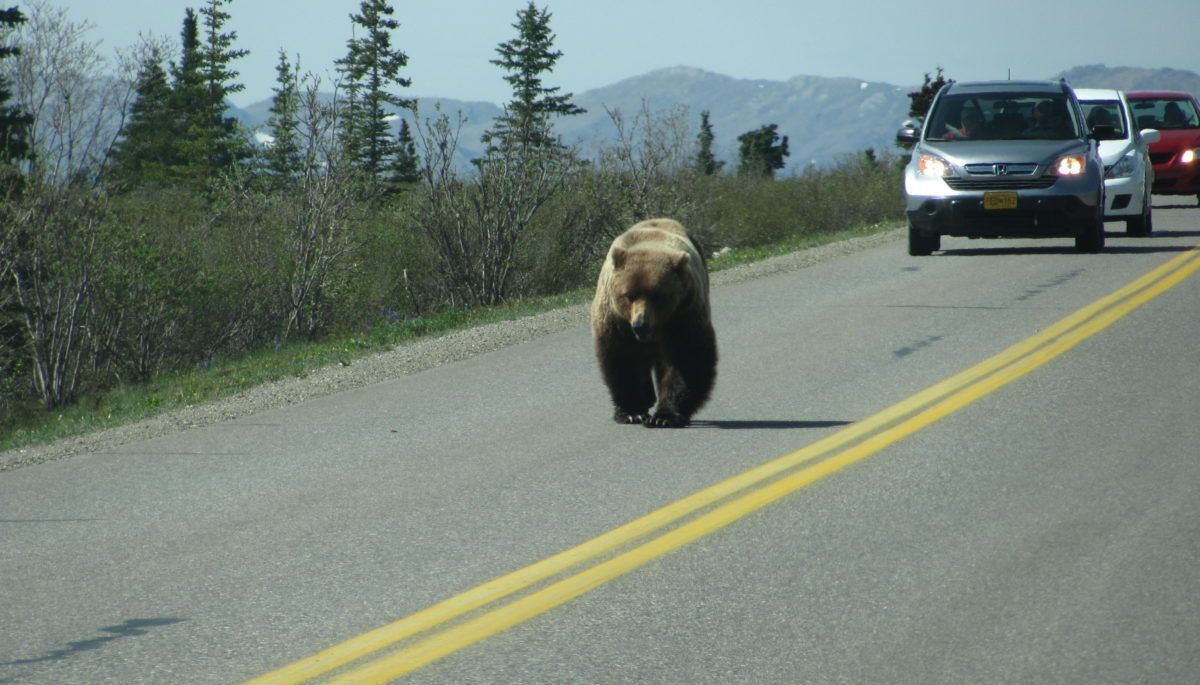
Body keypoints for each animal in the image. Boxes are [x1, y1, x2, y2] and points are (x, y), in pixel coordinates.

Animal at [591, 218, 718, 428]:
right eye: (629, 295)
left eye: (657, 296)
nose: (640, 324)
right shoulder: (616, 321)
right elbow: (621, 360)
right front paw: (632, 412)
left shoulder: (683, 314)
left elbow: (686, 357)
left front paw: (665, 416)